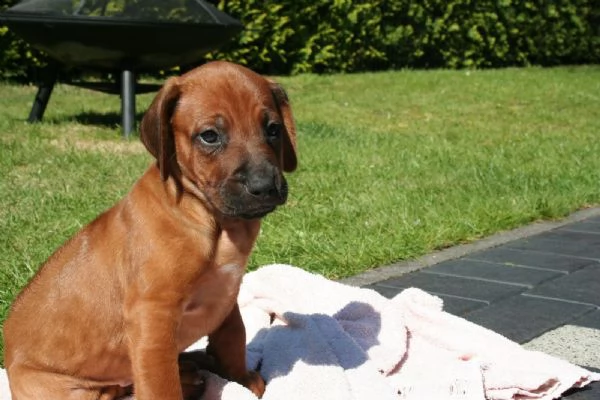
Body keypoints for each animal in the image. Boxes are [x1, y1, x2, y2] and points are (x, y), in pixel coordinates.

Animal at [2, 61, 298, 398]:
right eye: (209, 136)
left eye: (273, 129)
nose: (265, 187)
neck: (210, 220)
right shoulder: (153, 315)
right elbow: (160, 382)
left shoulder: (226, 295)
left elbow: (233, 336)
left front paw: (242, 380)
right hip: (71, 388)